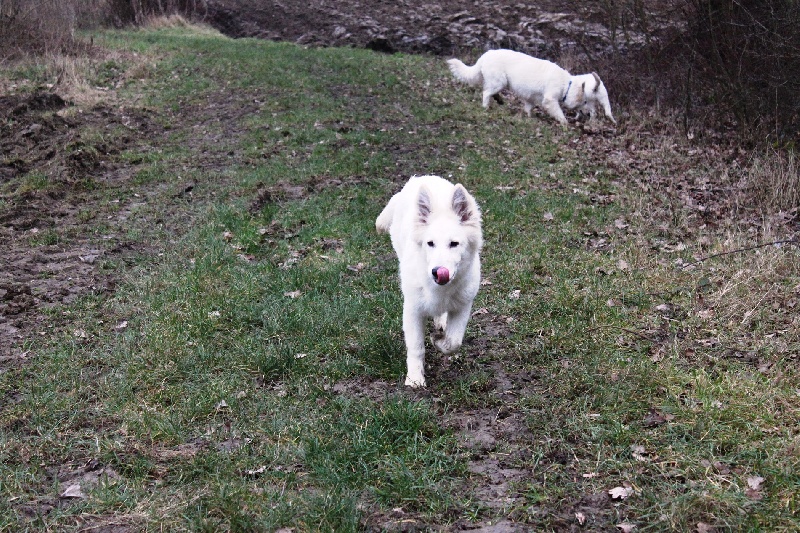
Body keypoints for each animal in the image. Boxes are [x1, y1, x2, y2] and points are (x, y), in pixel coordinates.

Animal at [378, 175, 484, 386]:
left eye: (454, 244)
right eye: (430, 243)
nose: (437, 272)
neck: (441, 290)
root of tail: (421, 178)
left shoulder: (463, 306)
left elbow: (453, 342)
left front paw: (439, 341)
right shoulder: (412, 309)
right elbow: (416, 347)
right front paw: (414, 379)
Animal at [446, 48, 616, 125]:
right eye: (585, 101)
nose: (590, 114)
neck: (565, 85)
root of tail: (485, 55)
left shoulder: (531, 98)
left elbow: (528, 108)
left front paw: (530, 117)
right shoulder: (550, 100)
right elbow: (559, 114)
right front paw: (565, 124)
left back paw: (499, 101)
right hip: (499, 82)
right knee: (486, 93)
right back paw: (486, 107)